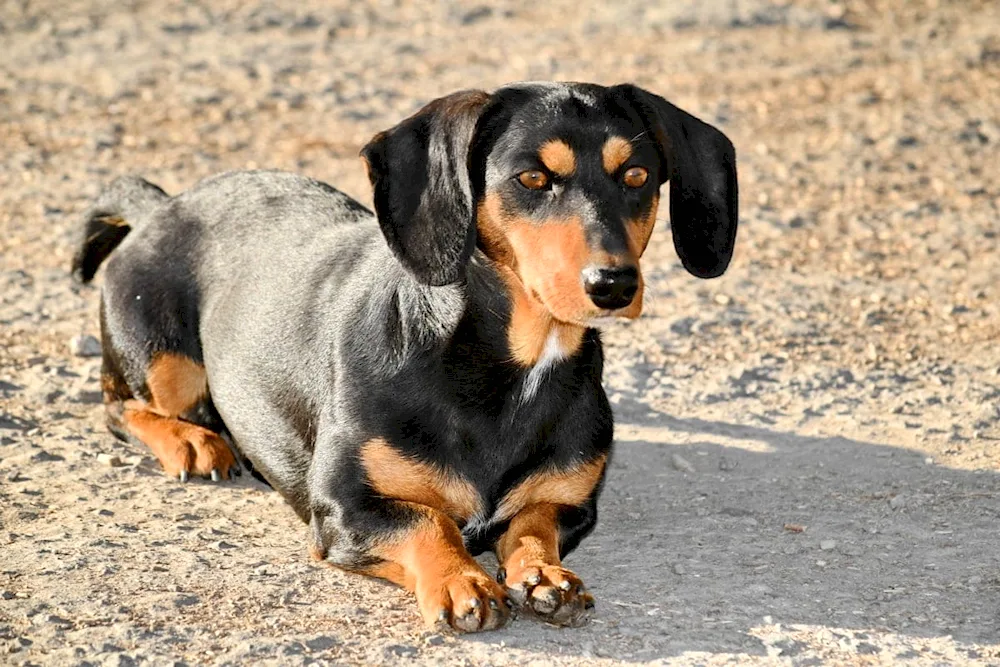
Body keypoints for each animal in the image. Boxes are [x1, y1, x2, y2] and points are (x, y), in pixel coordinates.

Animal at [72, 81, 736, 636]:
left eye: (637, 175)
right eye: (531, 179)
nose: (614, 285)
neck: (507, 370)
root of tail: (161, 204)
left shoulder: (570, 504)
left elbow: (532, 524)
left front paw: (543, 574)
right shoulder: (346, 507)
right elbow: (428, 521)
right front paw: (461, 580)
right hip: (164, 360)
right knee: (118, 405)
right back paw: (191, 441)